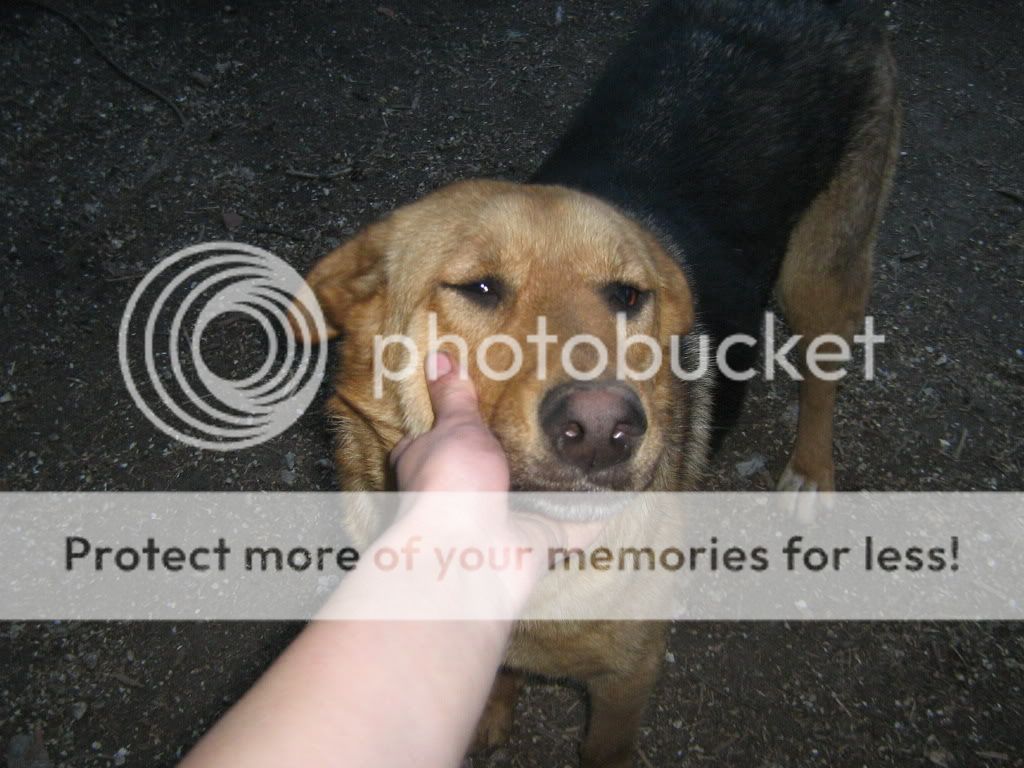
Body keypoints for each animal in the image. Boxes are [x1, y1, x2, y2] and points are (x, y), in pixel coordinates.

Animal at [294, 3, 897, 765]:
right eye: (479, 288)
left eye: (628, 296)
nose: (604, 428)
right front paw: (491, 711)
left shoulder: (625, 681)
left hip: (818, 275)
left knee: (826, 371)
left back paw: (811, 469)